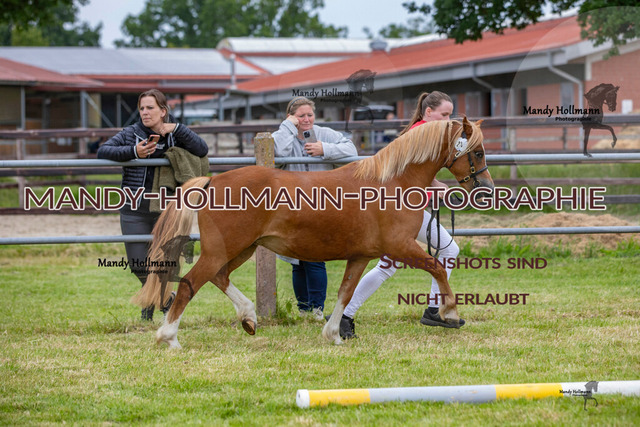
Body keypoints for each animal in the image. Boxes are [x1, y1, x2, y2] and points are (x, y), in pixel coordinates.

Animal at [132, 117, 494, 348]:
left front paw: (333, 334)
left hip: (244, 248)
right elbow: (437, 268)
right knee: (190, 283)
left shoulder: (361, 255)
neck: (390, 183)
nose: (487, 189)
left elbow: (346, 292)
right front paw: (450, 313)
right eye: (477, 152)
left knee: (219, 277)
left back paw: (249, 318)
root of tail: (213, 181)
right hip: (224, 249)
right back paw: (169, 337)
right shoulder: (401, 246)